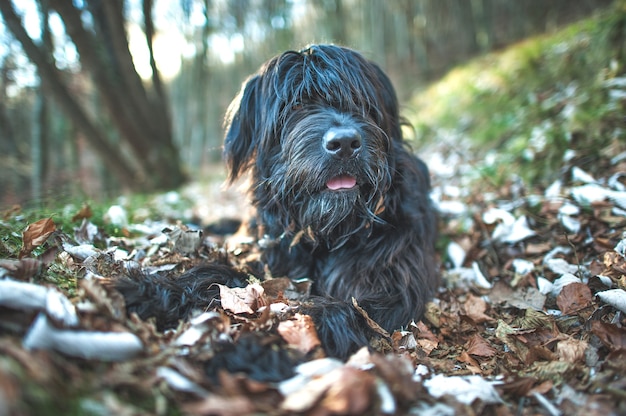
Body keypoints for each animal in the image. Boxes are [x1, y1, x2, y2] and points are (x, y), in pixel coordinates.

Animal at [118, 44, 438, 360]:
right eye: (295, 106)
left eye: (358, 102)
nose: (345, 143)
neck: (326, 233)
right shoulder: (272, 259)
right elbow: (216, 274)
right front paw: (149, 291)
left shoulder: (390, 284)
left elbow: (337, 316)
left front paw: (255, 353)